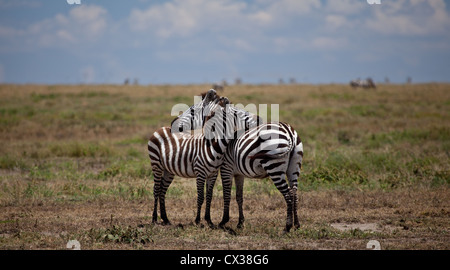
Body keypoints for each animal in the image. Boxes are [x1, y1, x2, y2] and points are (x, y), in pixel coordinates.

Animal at [174, 99, 304, 232]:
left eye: (192, 110)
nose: (174, 123)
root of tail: (288, 131)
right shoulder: (238, 174)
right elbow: (239, 197)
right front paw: (240, 223)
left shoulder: (226, 169)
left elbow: (227, 195)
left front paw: (223, 221)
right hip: (294, 167)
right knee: (294, 192)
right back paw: (297, 224)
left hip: (274, 167)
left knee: (288, 194)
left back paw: (287, 226)